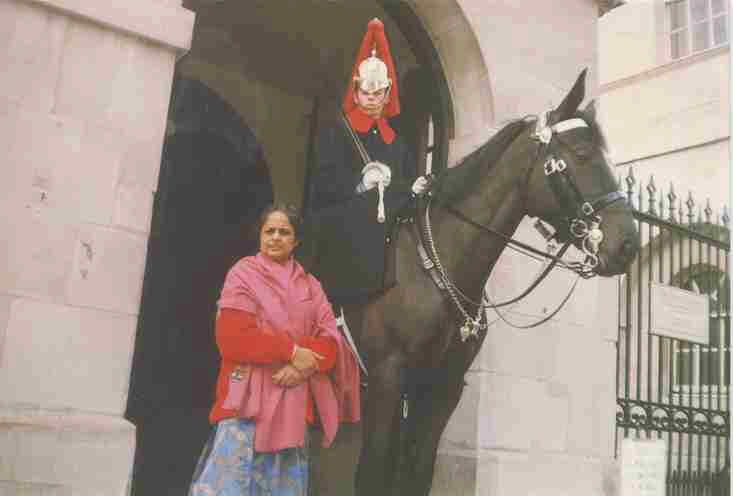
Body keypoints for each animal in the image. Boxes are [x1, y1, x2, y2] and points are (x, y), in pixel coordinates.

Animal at [336, 70, 636, 496]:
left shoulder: (440, 387)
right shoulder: (386, 378)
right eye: (582, 154)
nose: (629, 244)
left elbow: (416, 474)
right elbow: (373, 475)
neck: (437, 267)